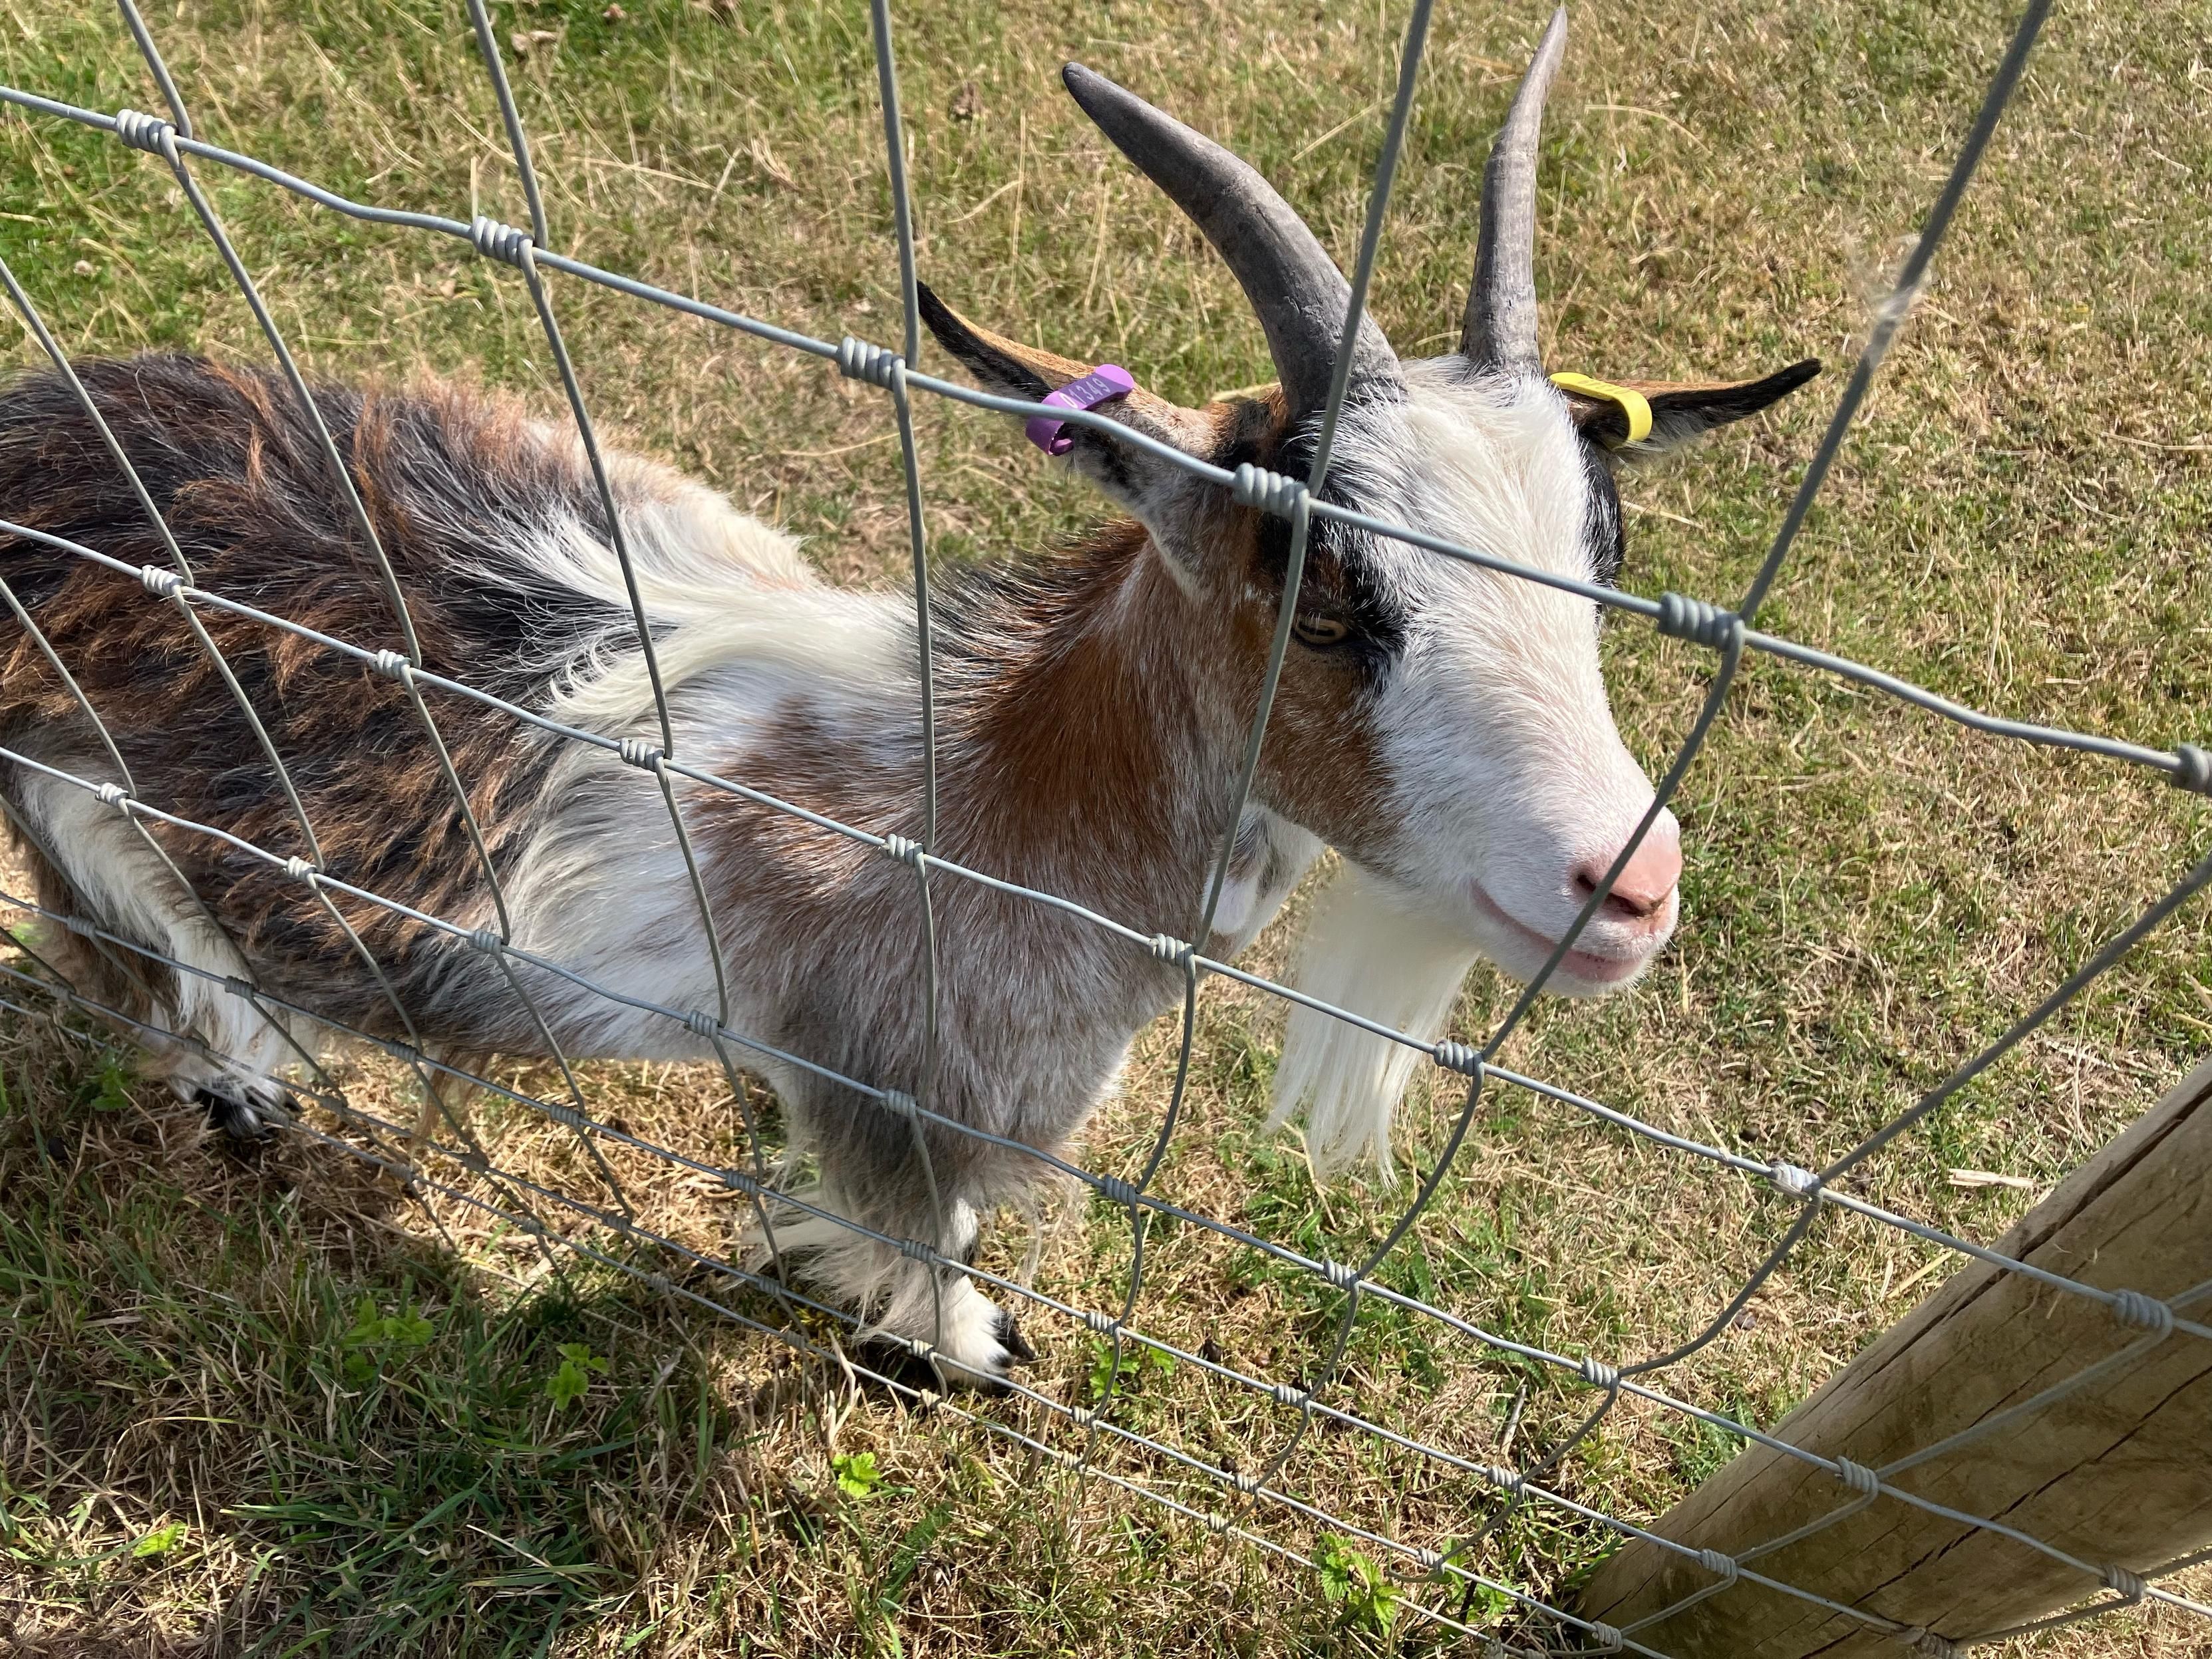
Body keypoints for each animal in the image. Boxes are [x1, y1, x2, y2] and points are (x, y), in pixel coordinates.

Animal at [0, 11, 1815, 1382]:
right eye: (1324, 591)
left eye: (1605, 545)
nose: (1628, 886)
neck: (981, 799)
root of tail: (41, 429)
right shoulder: (895, 1096)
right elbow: (923, 1240)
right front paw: (967, 1350)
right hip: (59, 781)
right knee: (107, 914)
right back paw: (240, 1080)